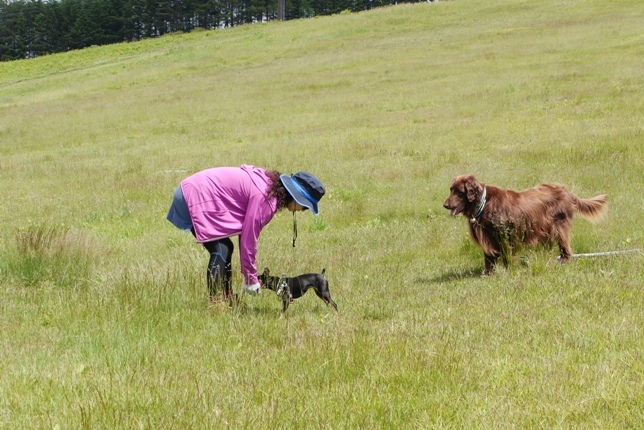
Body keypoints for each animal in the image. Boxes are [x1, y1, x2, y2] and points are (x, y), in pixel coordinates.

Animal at [446, 176, 608, 274]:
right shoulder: (488, 236)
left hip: (559, 226)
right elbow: (489, 257)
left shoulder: (505, 235)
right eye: (451, 189)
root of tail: (565, 191)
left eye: (459, 192)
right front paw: (488, 273)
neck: (484, 203)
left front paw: (509, 269)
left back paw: (563, 260)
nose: (445, 205)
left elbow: (507, 254)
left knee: (565, 246)